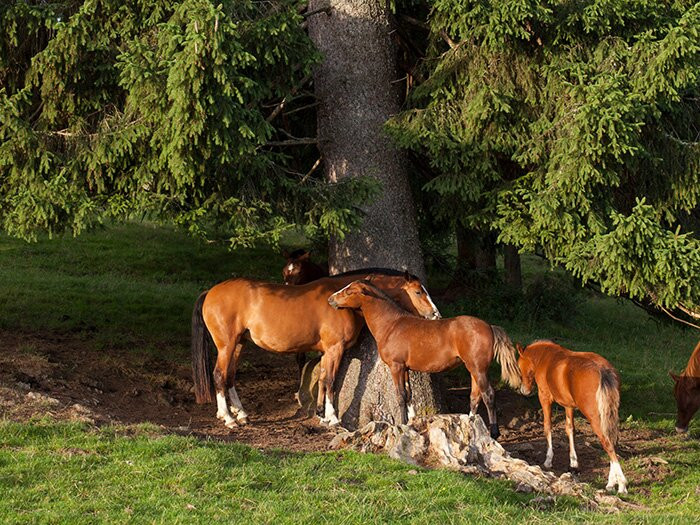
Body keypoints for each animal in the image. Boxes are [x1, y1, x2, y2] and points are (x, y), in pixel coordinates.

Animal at [191, 268, 440, 428]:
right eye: (418, 292)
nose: (435, 314)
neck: (340, 302)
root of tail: (210, 292)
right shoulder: (335, 349)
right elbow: (331, 380)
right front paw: (333, 418)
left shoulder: (326, 351)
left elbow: (321, 379)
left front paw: (321, 414)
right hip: (227, 345)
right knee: (219, 375)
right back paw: (229, 418)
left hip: (238, 344)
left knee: (230, 377)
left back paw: (241, 414)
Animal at [326, 278, 520, 438]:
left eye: (349, 291)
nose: (330, 299)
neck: (392, 325)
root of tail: (489, 327)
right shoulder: (405, 369)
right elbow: (409, 394)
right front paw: (411, 422)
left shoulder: (396, 367)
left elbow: (400, 396)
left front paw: (402, 424)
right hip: (473, 369)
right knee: (475, 396)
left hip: (479, 369)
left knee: (488, 395)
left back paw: (494, 433)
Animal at [516, 340, 628, 492]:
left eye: (519, 366)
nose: (524, 391)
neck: (545, 358)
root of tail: (603, 370)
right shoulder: (568, 405)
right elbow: (570, 429)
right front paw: (573, 462)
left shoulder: (544, 397)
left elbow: (547, 426)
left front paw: (548, 460)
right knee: (611, 441)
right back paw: (611, 482)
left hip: (595, 418)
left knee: (607, 443)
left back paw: (621, 483)